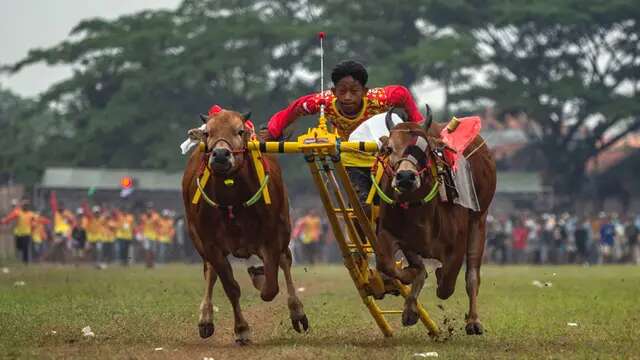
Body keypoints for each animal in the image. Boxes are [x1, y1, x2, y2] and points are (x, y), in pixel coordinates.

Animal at [181, 109, 308, 344]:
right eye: (207, 132)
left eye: (239, 131)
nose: (221, 155)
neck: (233, 201)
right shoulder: (210, 244)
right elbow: (231, 287)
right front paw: (241, 329)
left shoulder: (272, 238)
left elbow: (271, 287)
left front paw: (259, 277)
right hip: (197, 240)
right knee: (210, 272)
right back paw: (205, 318)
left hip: (285, 228)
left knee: (285, 261)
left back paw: (297, 312)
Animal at [376, 115, 496, 334]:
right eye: (389, 148)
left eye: (426, 150)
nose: (405, 177)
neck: (419, 212)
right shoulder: (389, 234)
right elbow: (388, 265)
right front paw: (409, 283)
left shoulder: (457, 245)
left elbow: (447, 284)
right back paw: (411, 307)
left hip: (479, 220)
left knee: (472, 276)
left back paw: (473, 321)